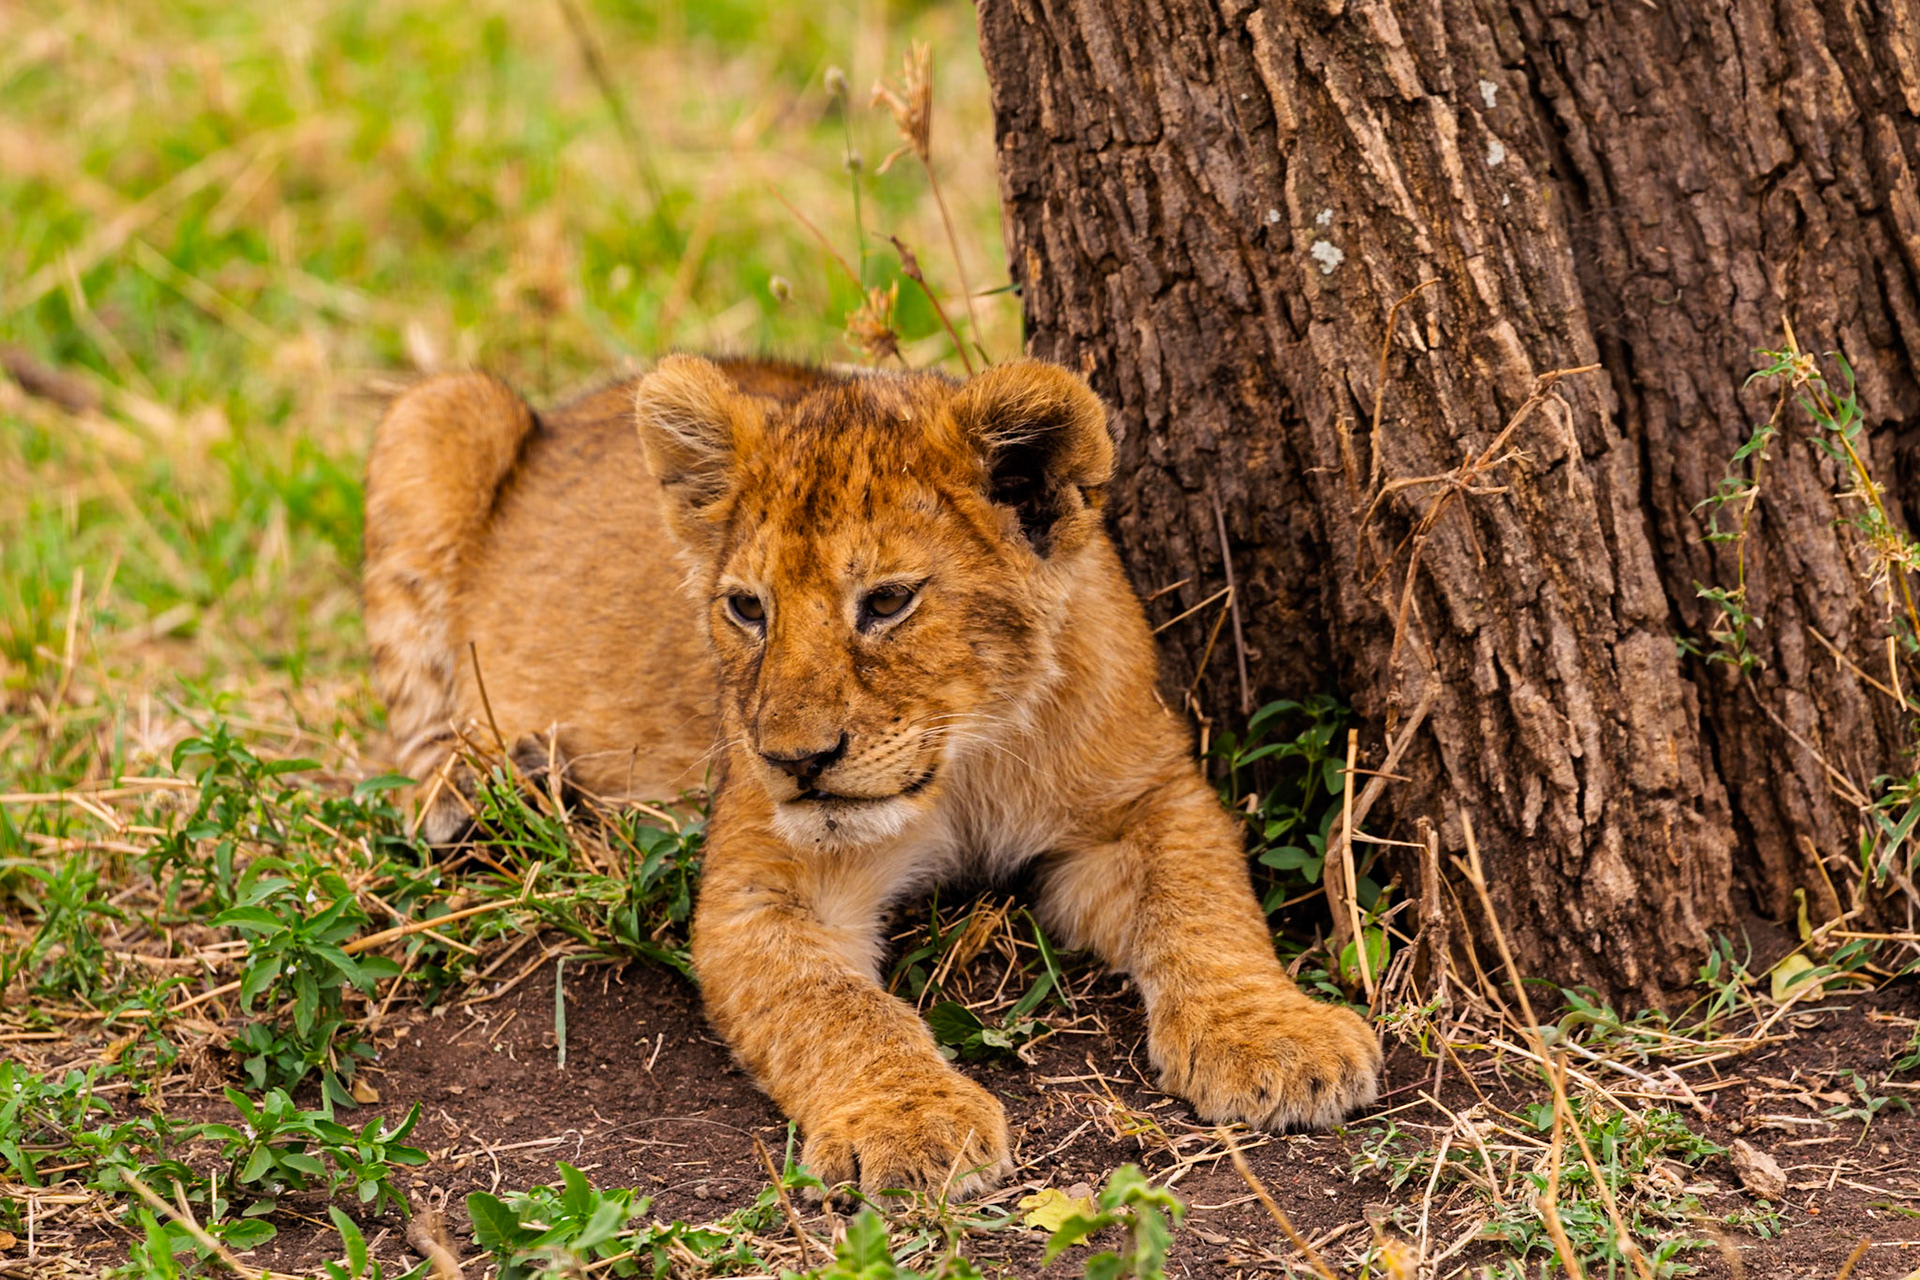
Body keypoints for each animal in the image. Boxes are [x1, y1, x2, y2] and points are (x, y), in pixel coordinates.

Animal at [362, 355, 1382, 1197]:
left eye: (888, 602)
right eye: (747, 608)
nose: (793, 760)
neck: (970, 762)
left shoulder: (1145, 798)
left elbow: (1204, 904)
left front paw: (1274, 1038)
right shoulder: (761, 887)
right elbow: (837, 1009)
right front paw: (910, 1120)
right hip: (438, 412)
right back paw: (478, 795)